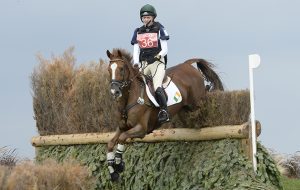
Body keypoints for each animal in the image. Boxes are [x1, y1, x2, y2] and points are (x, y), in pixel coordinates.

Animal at [105, 47, 223, 181]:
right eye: (109, 70)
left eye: (121, 69)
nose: (114, 92)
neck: (129, 99)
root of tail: (187, 65)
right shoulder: (122, 127)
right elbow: (111, 143)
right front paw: (113, 171)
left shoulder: (141, 129)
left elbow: (122, 137)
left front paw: (118, 164)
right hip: (185, 109)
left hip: (197, 102)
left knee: (205, 109)